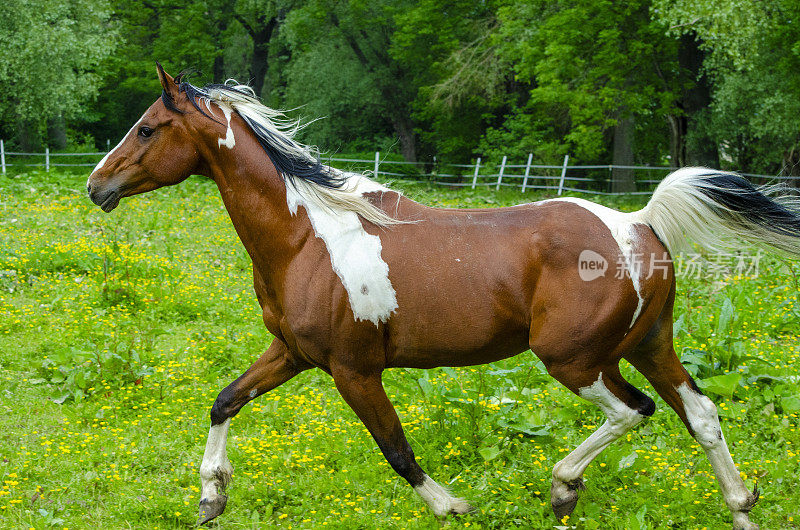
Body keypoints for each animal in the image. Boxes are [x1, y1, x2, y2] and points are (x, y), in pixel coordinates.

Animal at [87, 64, 800, 524]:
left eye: (147, 128)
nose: (97, 186)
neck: (307, 237)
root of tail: (639, 223)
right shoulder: (292, 353)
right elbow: (224, 400)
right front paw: (211, 498)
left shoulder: (353, 369)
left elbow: (396, 448)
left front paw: (453, 504)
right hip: (649, 344)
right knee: (700, 413)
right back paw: (741, 507)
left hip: (575, 358)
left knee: (634, 412)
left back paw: (563, 489)